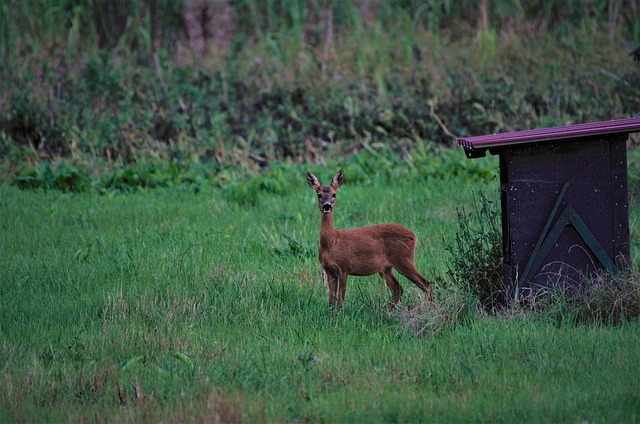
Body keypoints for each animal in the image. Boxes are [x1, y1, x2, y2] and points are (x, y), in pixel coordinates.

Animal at [306, 167, 436, 310]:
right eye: (319, 195)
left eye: (334, 194)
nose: (327, 206)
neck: (332, 242)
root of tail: (414, 236)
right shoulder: (329, 271)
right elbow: (331, 302)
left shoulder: (344, 267)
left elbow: (340, 300)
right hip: (386, 267)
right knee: (398, 289)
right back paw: (386, 311)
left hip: (404, 260)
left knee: (426, 284)